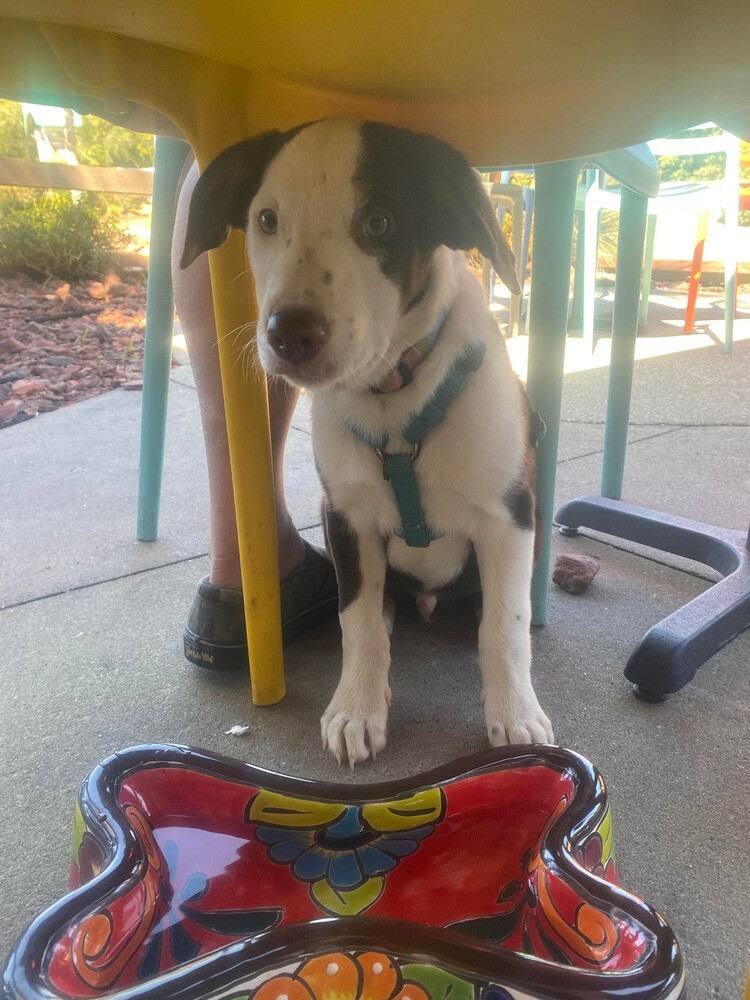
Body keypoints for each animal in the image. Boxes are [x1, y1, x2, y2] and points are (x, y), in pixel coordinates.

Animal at [182, 121, 556, 768]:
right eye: (266, 220)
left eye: (379, 223)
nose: (289, 334)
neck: (393, 399)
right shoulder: (346, 516)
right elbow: (355, 620)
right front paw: (357, 708)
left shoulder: (510, 516)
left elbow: (505, 627)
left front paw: (514, 715)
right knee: (375, 610)